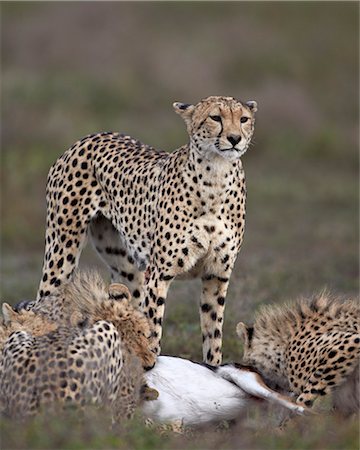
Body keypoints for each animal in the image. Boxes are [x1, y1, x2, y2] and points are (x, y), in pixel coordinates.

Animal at [36, 96, 256, 366]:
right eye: (216, 118)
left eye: (243, 119)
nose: (235, 138)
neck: (216, 177)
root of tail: (90, 136)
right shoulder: (159, 273)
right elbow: (153, 327)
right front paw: (151, 363)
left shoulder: (217, 275)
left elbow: (212, 335)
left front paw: (214, 368)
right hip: (61, 253)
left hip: (126, 268)